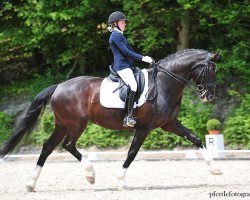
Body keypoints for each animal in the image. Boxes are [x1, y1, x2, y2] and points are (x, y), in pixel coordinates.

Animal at [0, 48, 222, 192]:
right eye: (211, 70)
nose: (210, 97)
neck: (164, 83)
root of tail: (59, 86)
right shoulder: (144, 127)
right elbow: (132, 153)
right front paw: (121, 182)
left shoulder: (169, 124)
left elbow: (195, 138)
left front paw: (216, 169)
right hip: (77, 124)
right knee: (68, 145)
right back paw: (90, 175)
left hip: (62, 124)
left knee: (47, 147)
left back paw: (31, 184)